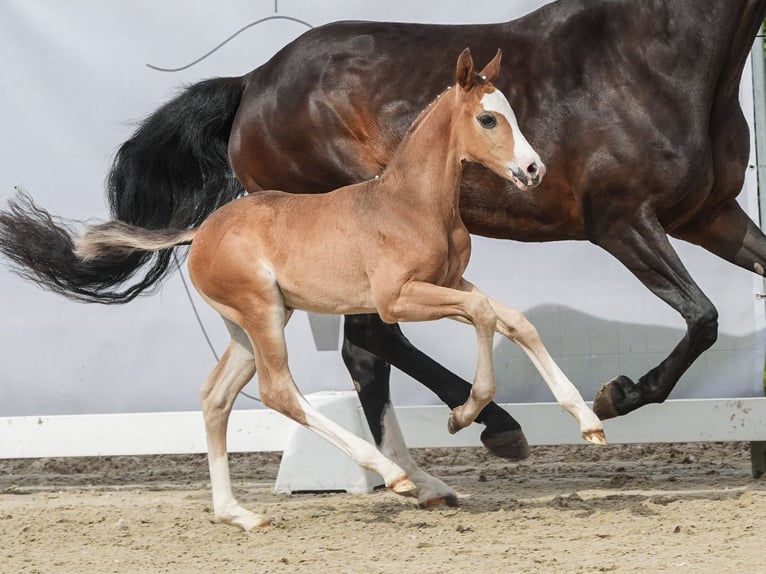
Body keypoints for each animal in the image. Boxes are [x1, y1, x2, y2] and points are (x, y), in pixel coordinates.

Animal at [78, 51, 608, 532]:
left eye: (512, 113)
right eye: (488, 118)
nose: (534, 169)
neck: (410, 203)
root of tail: (200, 232)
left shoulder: (447, 283)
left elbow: (515, 319)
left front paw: (589, 423)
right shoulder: (397, 300)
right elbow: (482, 313)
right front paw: (464, 415)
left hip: (251, 325)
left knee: (216, 397)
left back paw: (238, 514)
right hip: (261, 313)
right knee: (279, 391)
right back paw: (393, 475)